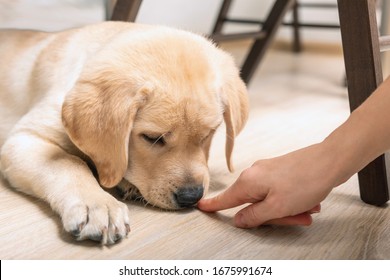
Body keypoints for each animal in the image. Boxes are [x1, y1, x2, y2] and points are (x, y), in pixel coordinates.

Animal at [0, 21, 248, 244]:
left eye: (209, 134)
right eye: (152, 138)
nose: (191, 197)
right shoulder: (25, 138)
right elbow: (70, 163)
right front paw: (97, 204)